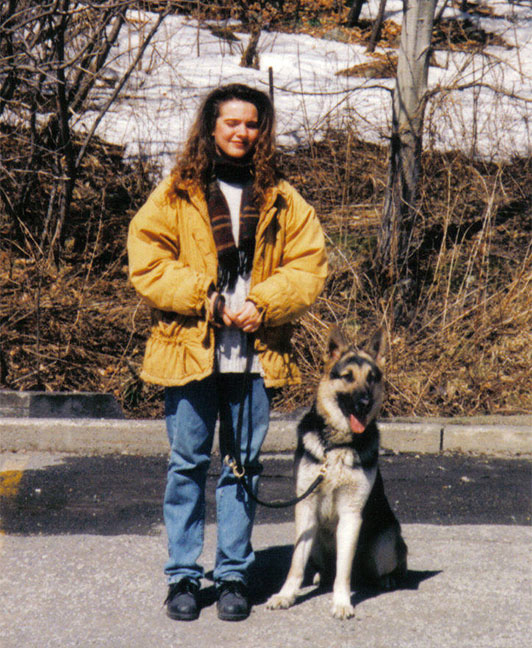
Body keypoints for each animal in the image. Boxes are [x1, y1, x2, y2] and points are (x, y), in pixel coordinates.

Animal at [266, 330, 408, 616]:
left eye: (372, 378)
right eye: (348, 376)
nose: (364, 403)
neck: (338, 445)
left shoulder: (351, 515)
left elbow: (345, 569)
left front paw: (341, 601)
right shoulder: (306, 508)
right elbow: (296, 564)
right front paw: (286, 595)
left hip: (385, 543)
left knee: (380, 567)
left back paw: (386, 579)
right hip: (316, 540)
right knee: (325, 567)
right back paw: (321, 576)